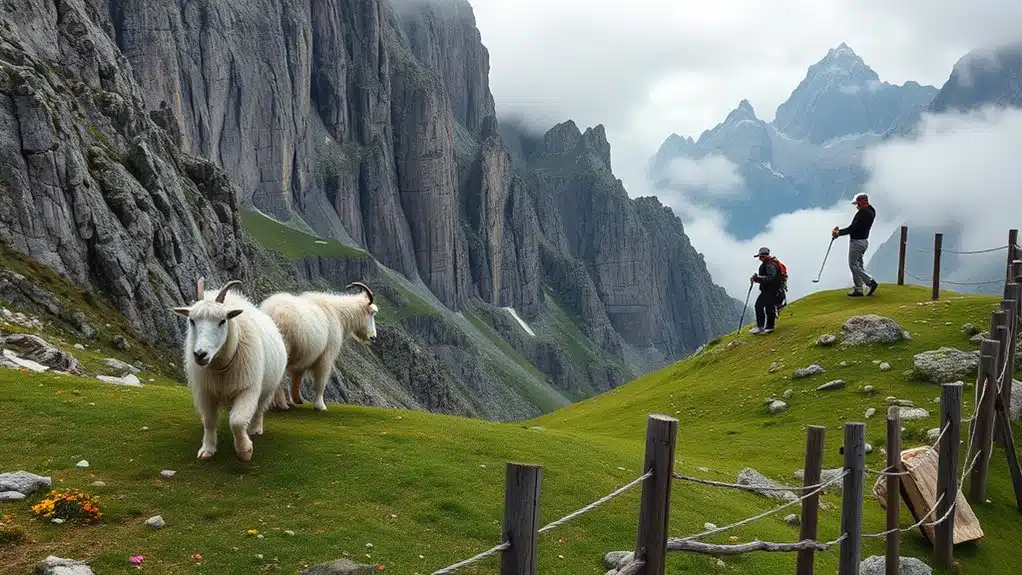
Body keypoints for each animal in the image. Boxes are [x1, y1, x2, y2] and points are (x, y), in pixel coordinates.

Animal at [172, 279, 288, 463]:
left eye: (222, 321)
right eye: (192, 320)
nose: (200, 354)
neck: (221, 367)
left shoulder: (248, 389)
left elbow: (237, 421)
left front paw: (244, 450)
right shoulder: (206, 392)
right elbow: (210, 421)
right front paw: (208, 449)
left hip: (268, 388)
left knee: (259, 409)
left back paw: (255, 428)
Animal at [259, 281, 380, 412]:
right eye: (371, 313)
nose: (373, 337)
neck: (338, 315)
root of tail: (269, 311)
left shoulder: (304, 360)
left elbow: (297, 379)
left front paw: (296, 400)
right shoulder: (326, 357)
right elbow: (321, 381)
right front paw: (320, 405)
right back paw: (281, 404)